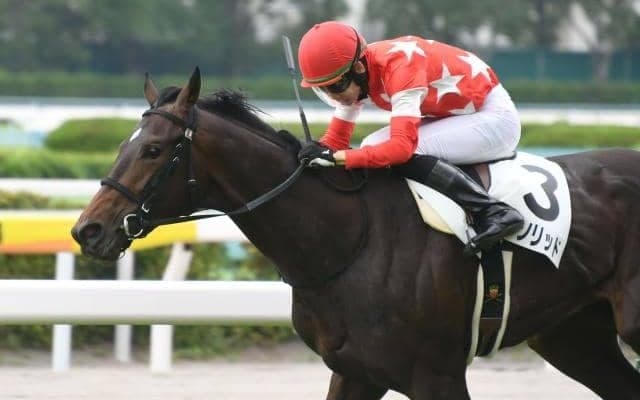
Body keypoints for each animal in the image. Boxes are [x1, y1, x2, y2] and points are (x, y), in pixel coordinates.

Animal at [71, 67, 640, 399]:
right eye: (123, 144)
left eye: (153, 150)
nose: (87, 229)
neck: (347, 242)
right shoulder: (356, 371)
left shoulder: (436, 374)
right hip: (573, 336)